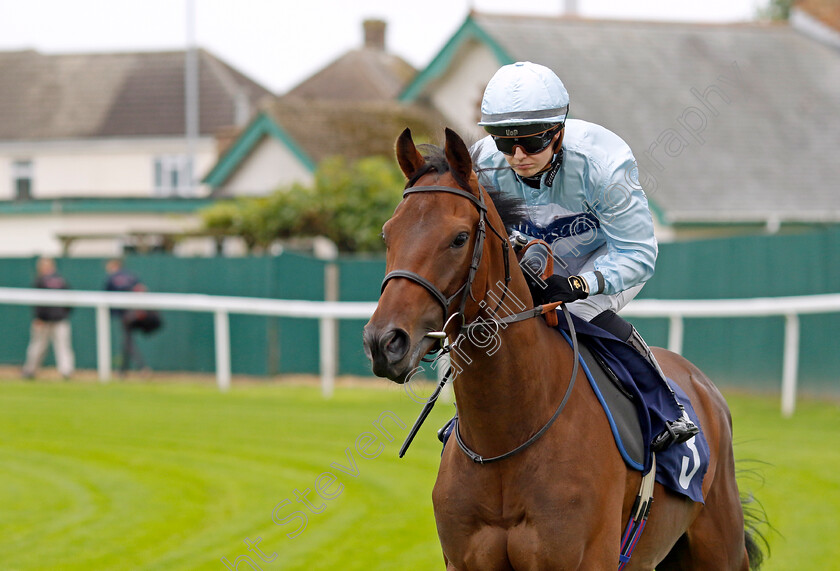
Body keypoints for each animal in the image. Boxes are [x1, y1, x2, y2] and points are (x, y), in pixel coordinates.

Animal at [364, 127, 764, 568]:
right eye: (387, 233)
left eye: (459, 238)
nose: (384, 341)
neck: (505, 439)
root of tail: (703, 385)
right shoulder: (463, 559)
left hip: (721, 547)